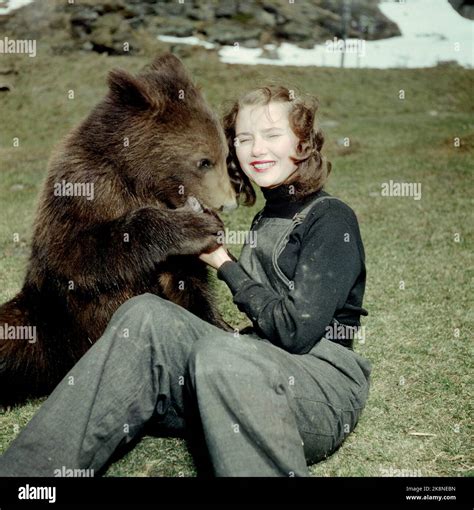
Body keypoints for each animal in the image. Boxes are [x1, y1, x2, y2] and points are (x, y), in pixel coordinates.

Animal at [0, 53, 254, 408]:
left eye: (224, 155)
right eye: (204, 161)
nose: (227, 204)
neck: (140, 179)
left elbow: (189, 284)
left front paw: (223, 324)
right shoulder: (84, 192)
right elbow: (79, 253)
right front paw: (192, 226)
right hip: (48, 326)